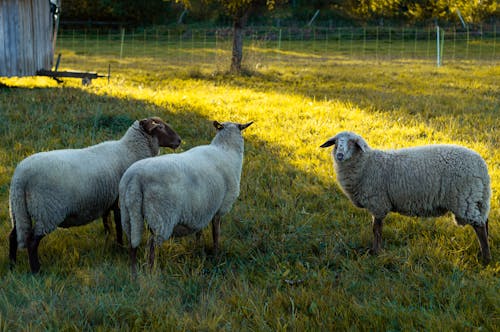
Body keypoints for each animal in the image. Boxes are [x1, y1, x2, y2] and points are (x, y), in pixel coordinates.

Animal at [7, 116, 183, 272]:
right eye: (160, 127)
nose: (179, 140)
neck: (129, 150)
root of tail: (20, 177)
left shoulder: (106, 201)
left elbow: (108, 224)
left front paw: (109, 243)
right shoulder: (118, 201)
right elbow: (118, 226)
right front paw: (120, 247)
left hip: (19, 209)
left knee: (13, 236)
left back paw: (12, 265)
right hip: (47, 211)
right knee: (32, 242)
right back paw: (36, 270)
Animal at [118, 120, 252, 274]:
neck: (226, 150)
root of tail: (135, 178)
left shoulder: (202, 208)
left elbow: (199, 232)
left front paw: (199, 251)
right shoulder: (220, 207)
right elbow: (216, 233)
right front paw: (216, 255)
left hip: (128, 212)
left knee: (132, 241)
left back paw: (134, 272)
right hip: (161, 217)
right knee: (151, 245)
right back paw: (152, 273)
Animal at [322, 131, 490, 264]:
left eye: (352, 142)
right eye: (336, 142)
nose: (339, 155)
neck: (367, 163)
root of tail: (481, 166)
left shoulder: (378, 203)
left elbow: (376, 229)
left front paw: (376, 252)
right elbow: (376, 229)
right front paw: (376, 251)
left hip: (464, 198)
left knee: (480, 225)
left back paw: (485, 259)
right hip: (477, 198)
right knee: (485, 221)